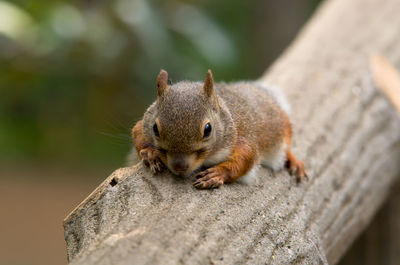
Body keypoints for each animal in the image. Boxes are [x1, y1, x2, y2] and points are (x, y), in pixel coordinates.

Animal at [130, 68, 306, 188]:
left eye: (208, 129)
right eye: (155, 128)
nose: (179, 166)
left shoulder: (240, 138)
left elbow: (245, 158)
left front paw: (216, 174)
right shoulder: (143, 124)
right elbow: (137, 134)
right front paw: (150, 153)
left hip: (282, 127)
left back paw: (295, 162)